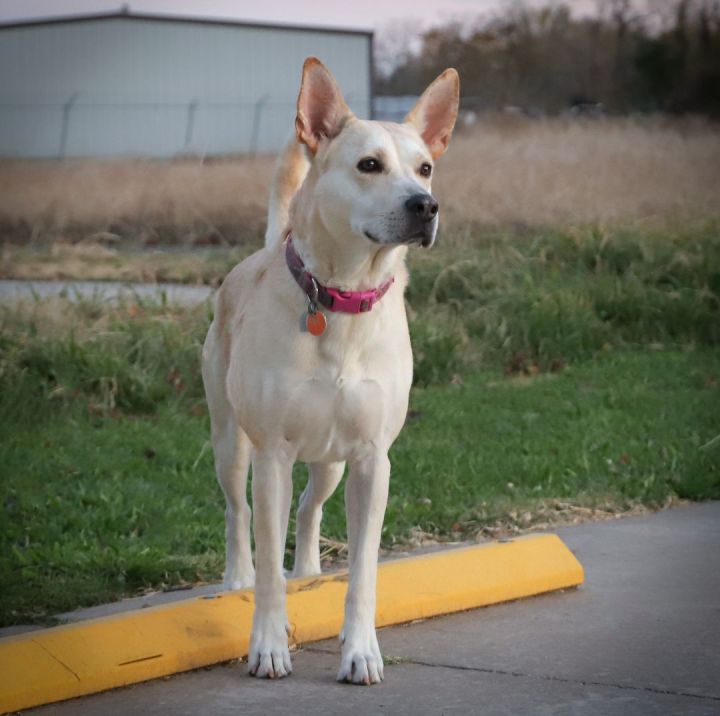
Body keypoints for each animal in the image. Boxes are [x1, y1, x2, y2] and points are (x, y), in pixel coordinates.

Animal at [200, 58, 458, 684]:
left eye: (425, 168)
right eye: (369, 165)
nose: (426, 205)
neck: (342, 296)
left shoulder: (371, 460)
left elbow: (363, 569)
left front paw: (360, 651)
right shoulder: (271, 456)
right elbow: (268, 561)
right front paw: (268, 646)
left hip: (331, 463)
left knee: (308, 506)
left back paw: (311, 573)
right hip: (230, 441)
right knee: (238, 512)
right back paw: (236, 577)